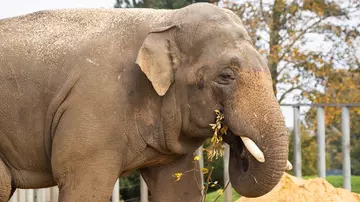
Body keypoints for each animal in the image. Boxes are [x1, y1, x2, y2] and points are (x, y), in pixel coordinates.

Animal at [0, 2, 290, 202]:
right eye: (226, 76)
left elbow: (179, 186)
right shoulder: (93, 111)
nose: (237, 145)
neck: (164, 20)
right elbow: (83, 183)